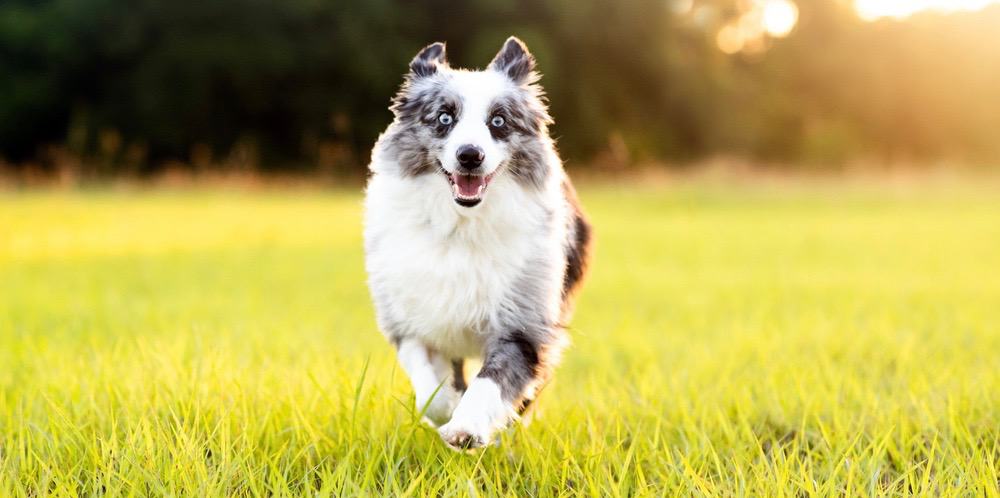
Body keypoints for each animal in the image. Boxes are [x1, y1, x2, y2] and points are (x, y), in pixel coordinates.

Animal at [364, 37, 588, 450]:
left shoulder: (523, 323)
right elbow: (429, 386)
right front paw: (446, 408)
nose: (470, 155)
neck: (462, 224)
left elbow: (491, 383)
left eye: (498, 121)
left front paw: (466, 427)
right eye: (443, 117)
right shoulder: (409, 319)